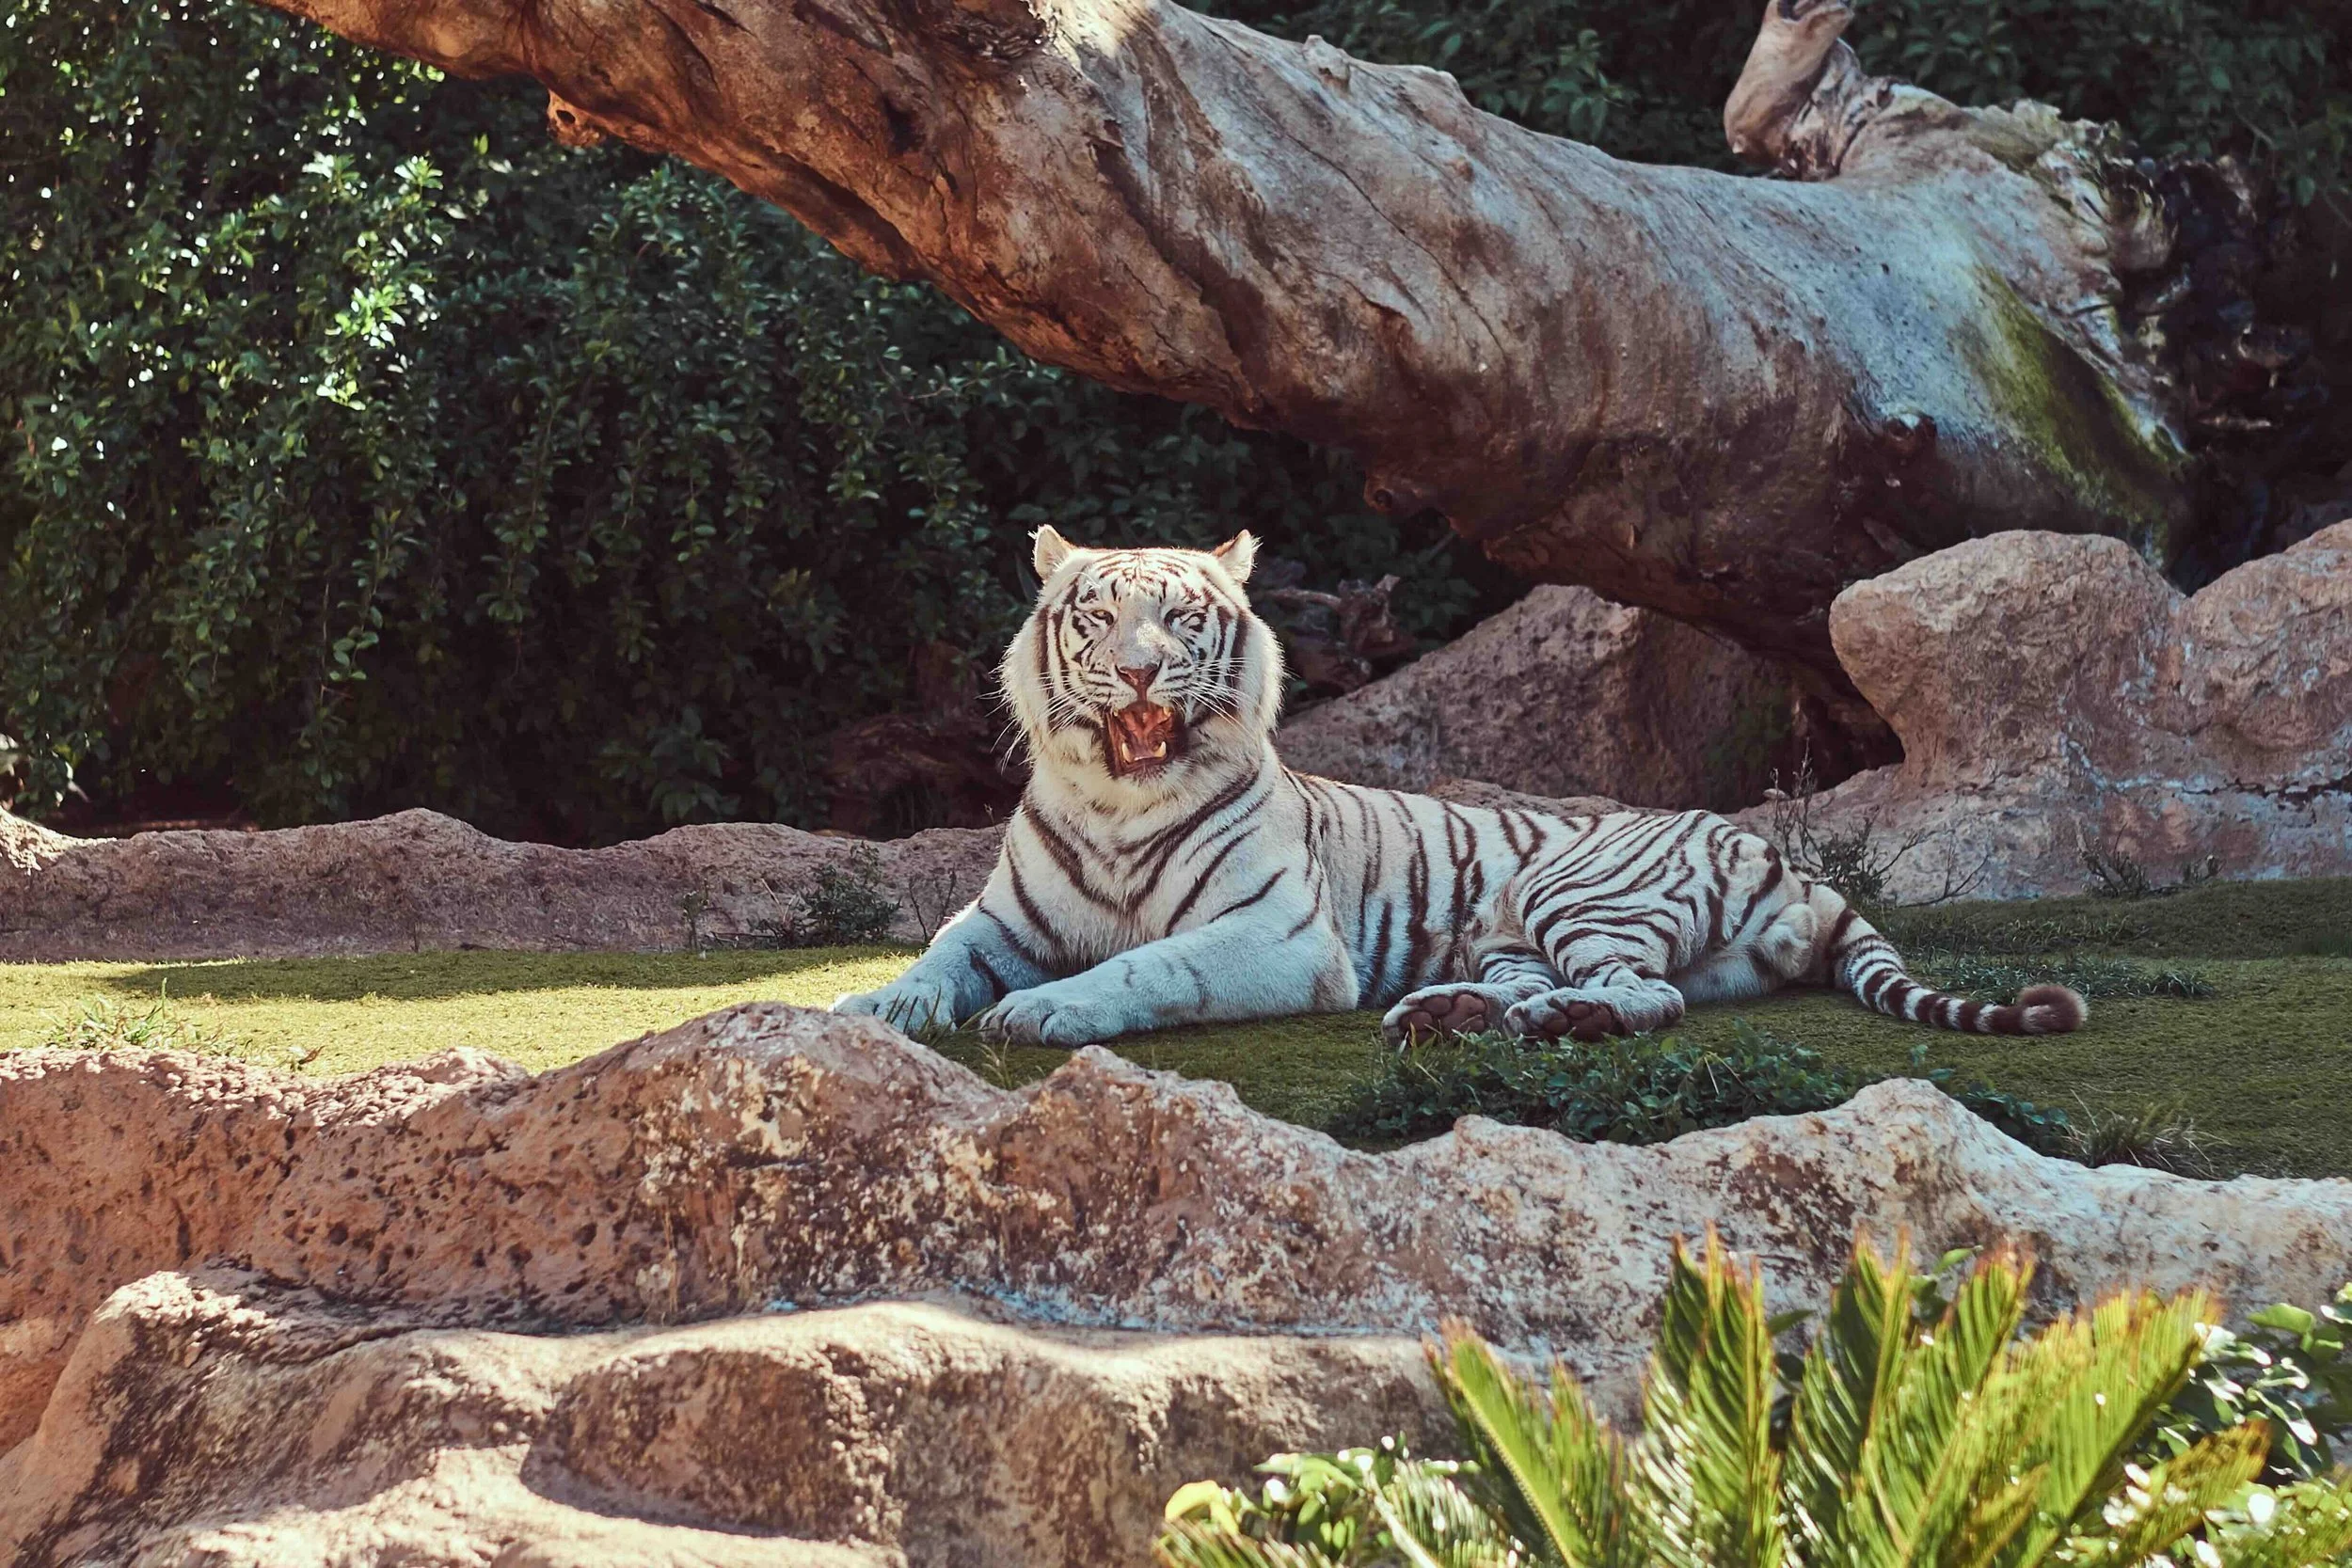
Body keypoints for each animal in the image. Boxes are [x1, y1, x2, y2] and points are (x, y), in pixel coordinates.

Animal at [831, 527, 2087, 1048]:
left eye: (1181, 617)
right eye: (1097, 617)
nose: (1139, 668)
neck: (1115, 801)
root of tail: (1789, 857)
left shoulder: (1278, 936)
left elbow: (1152, 963)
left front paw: (1045, 1010)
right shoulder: (999, 918)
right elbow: (934, 956)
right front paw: (870, 1008)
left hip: (1576, 894)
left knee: (1647, 998)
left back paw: (1547, 1019)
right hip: (1512, 935)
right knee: (1574, 992)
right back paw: (1461, 1015)